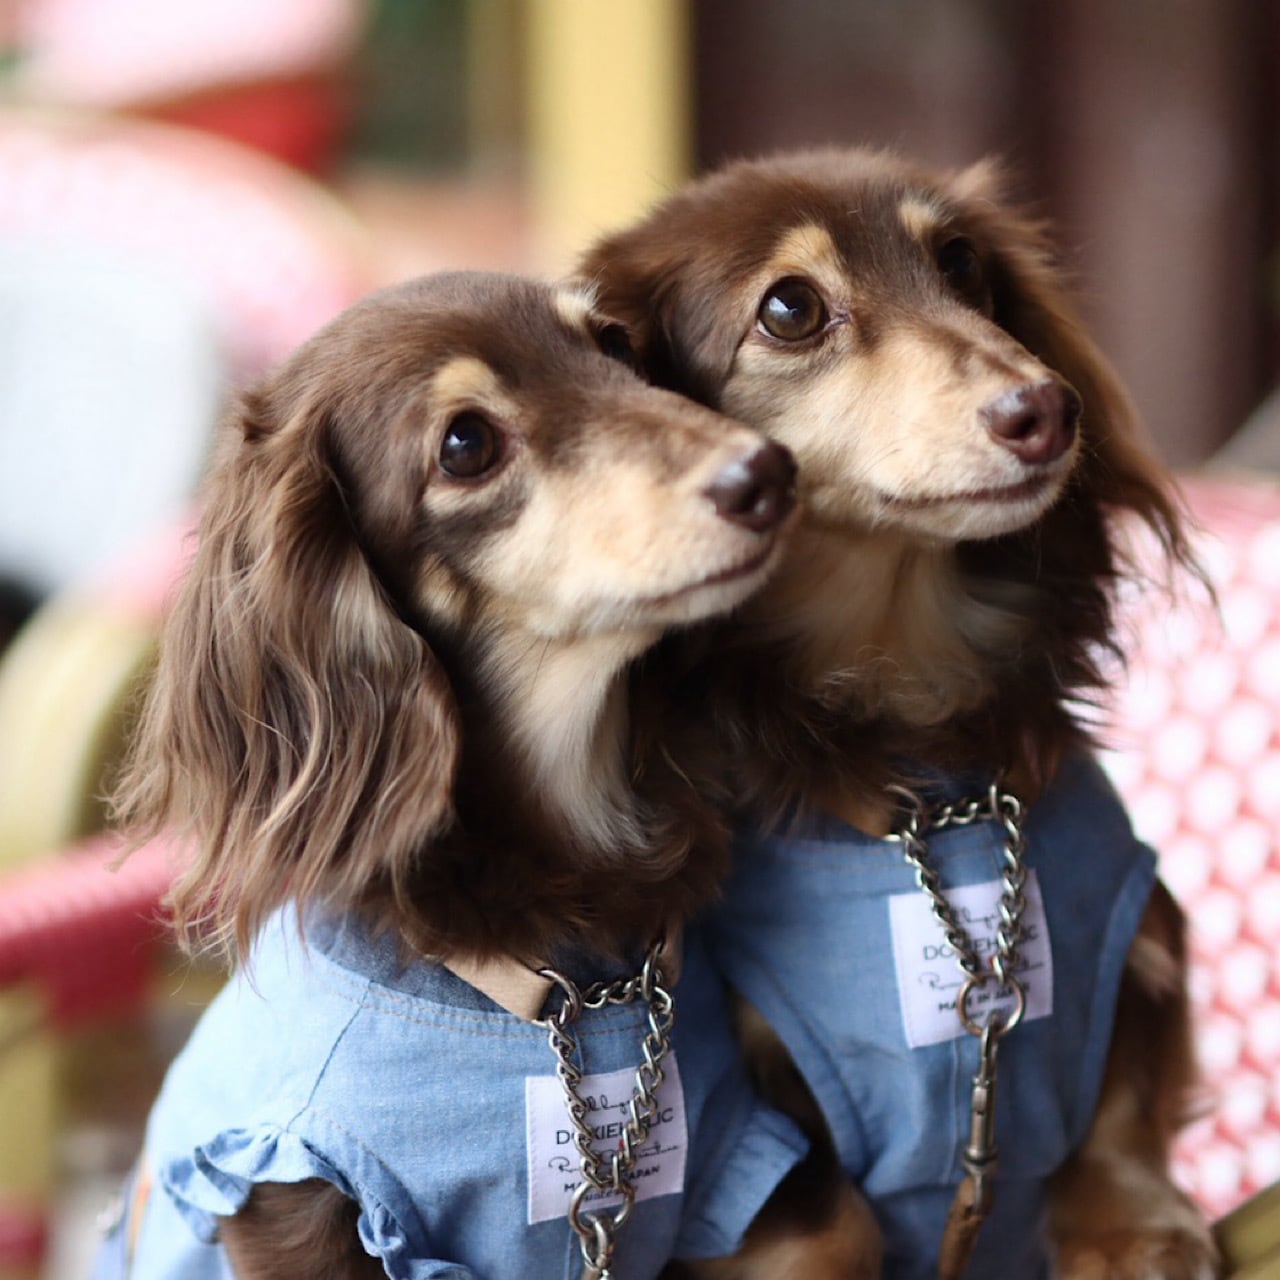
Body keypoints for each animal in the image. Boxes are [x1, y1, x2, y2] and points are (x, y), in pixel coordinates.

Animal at [96, 271, 870, 1279]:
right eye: (465, 444)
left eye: (612, 346)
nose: (768, 472)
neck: (565, 1000)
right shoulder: (286, 1199)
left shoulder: (746, 1155)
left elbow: (842, 1224)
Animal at [582, 149, 1219, 1279]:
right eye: (789, 307)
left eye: (958, 260)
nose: (1045, 408)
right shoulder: (749, 1100)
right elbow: (814, 1212)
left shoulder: (1130, 930)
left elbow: (1117, 1106)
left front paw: (1134, 1230)